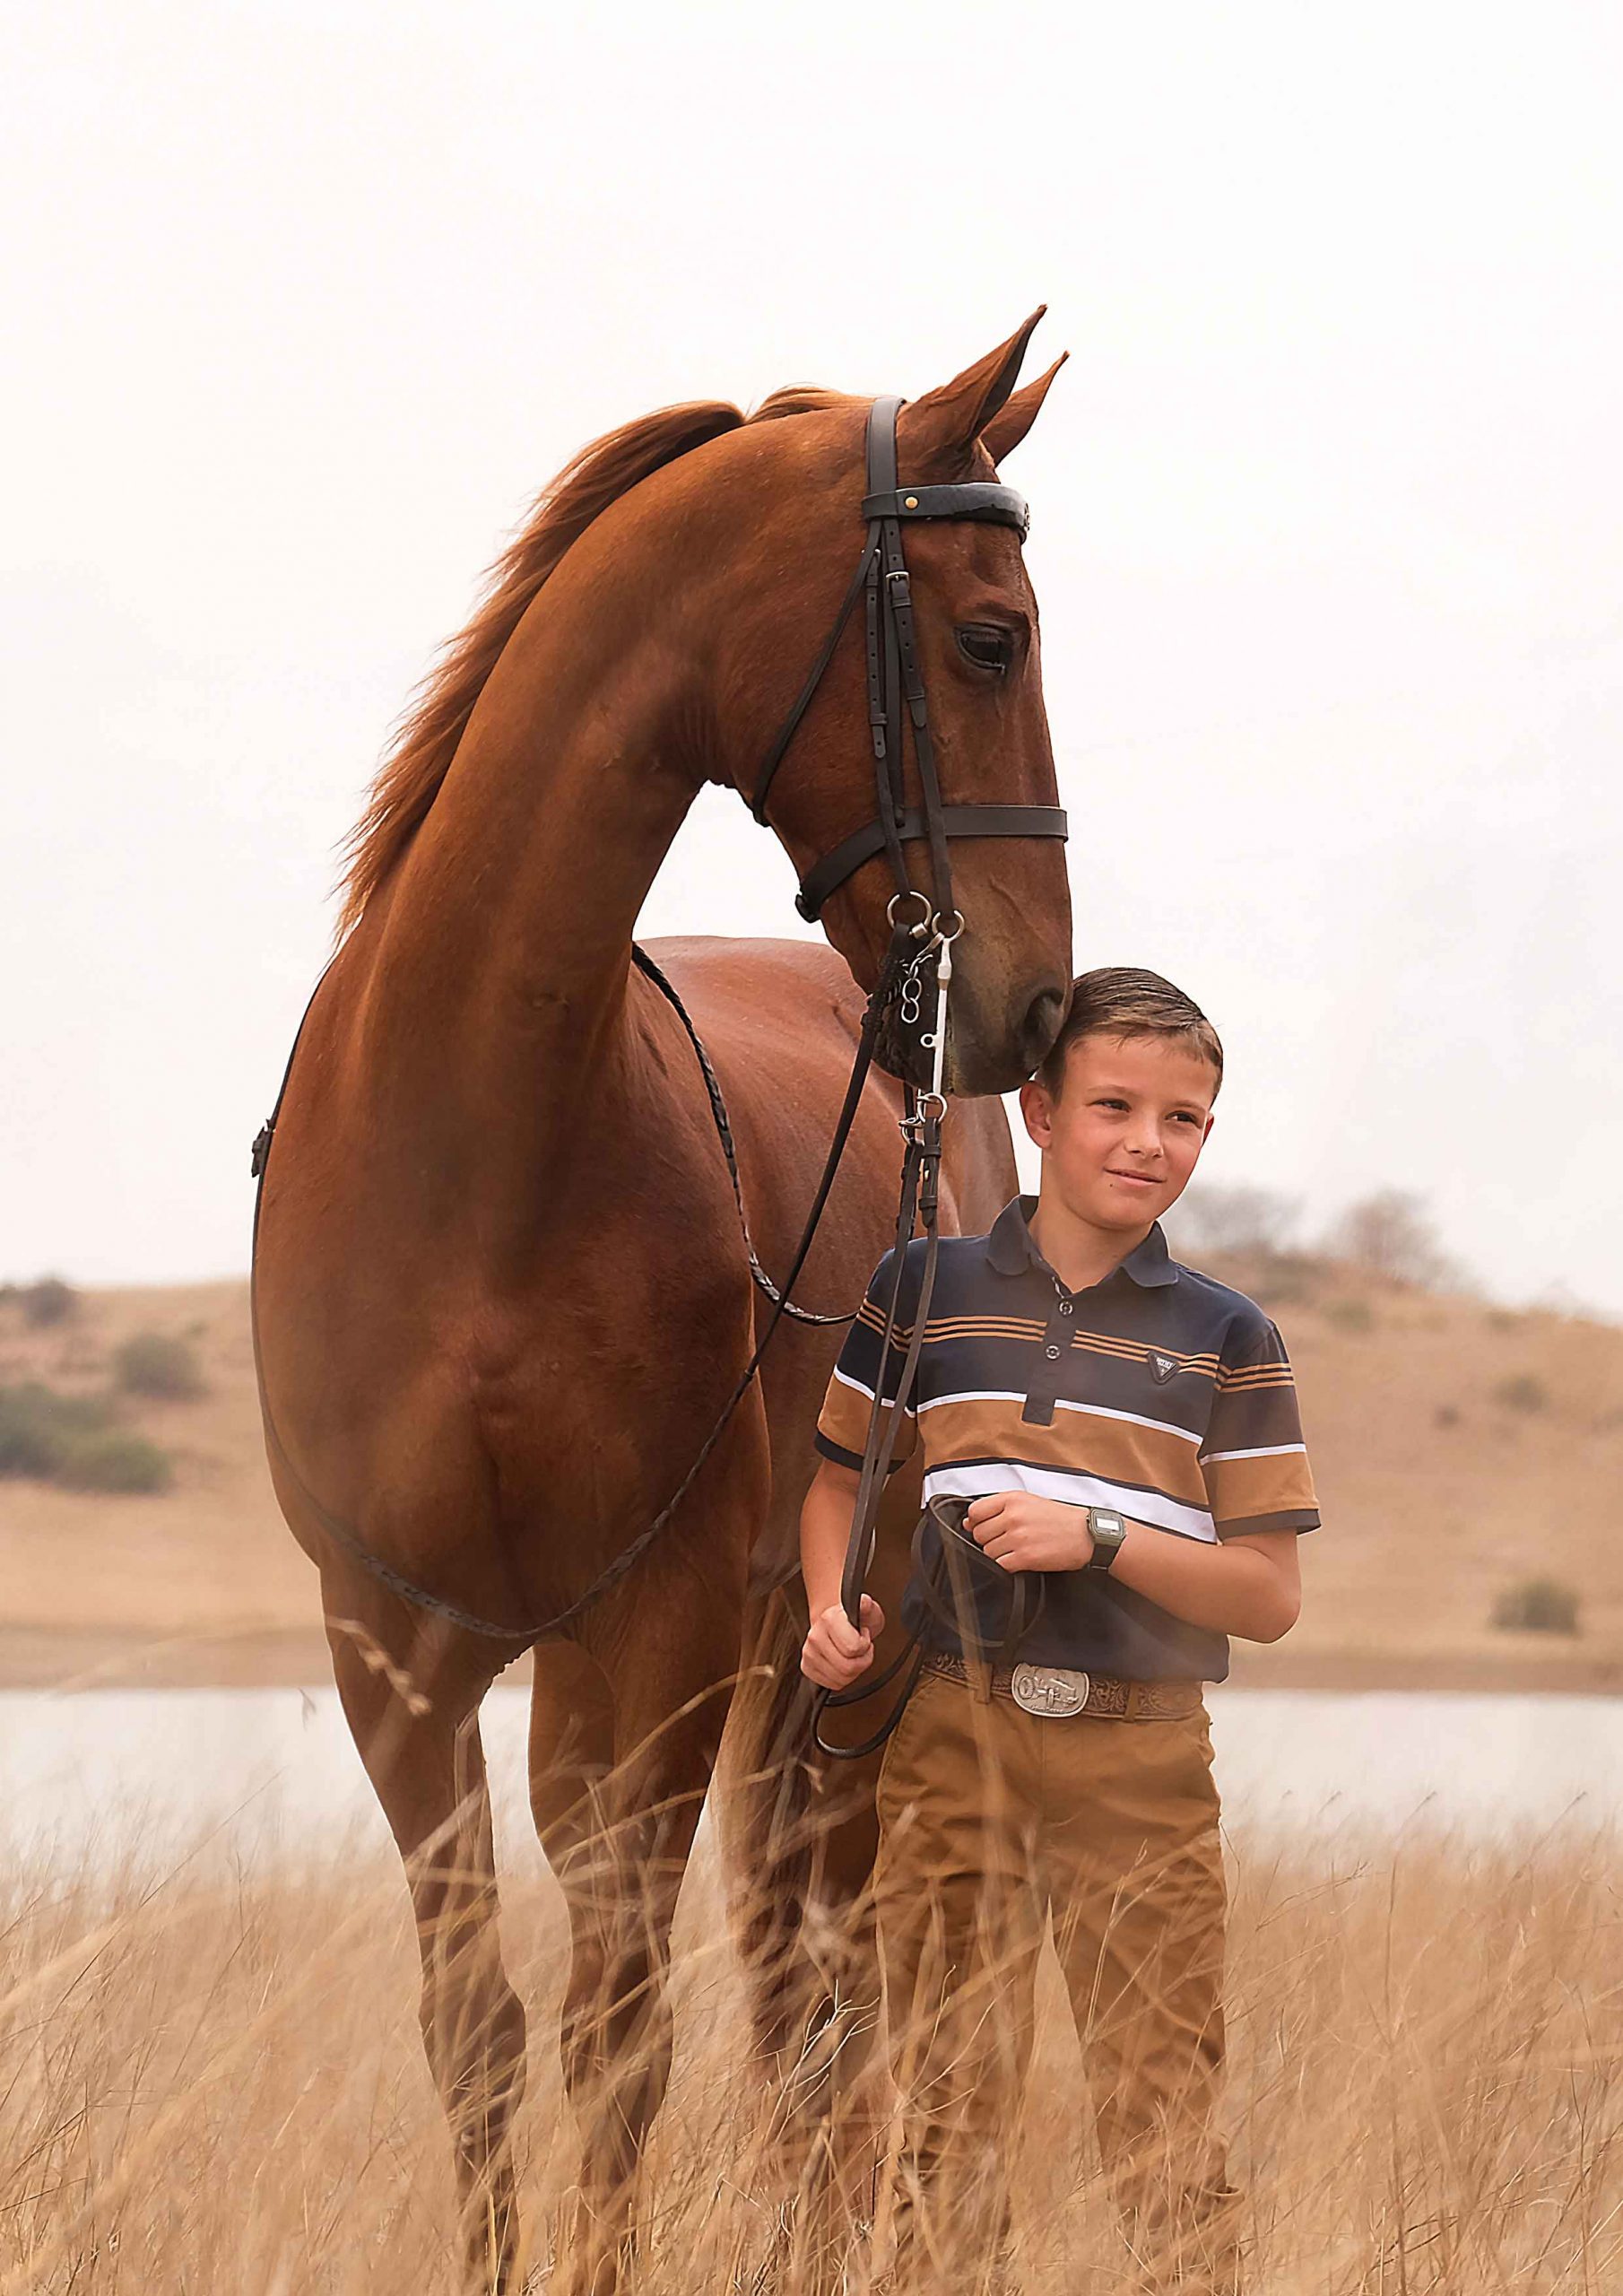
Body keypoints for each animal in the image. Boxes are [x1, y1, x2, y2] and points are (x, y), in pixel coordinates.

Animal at [251, 312, 1072, 2292]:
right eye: (989, 633)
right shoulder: (393, 1652)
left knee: (833, 2005)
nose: (1031, 1003)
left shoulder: (661, 1634)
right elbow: (478, 2027)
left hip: (840, 1665)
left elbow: (621, 2035)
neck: (475, 1134)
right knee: (795, 2001)